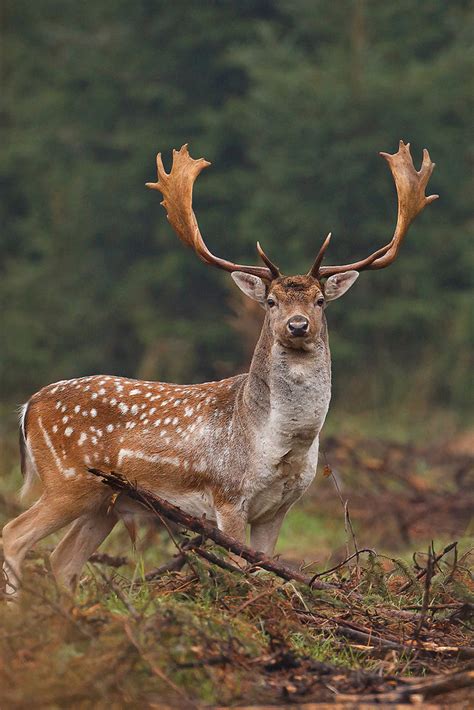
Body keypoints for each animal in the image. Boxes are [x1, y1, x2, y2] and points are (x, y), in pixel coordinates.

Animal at [1, 138, 436, 596]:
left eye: (320, 300)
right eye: (271, 301)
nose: (298, 325)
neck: (279, 443)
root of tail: (28, 407)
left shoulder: (279, 507)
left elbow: (265, 568)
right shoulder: (228, 496)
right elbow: (240, 569)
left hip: (107, 501)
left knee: (61, 560)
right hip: (69, 479)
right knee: (14, 534)